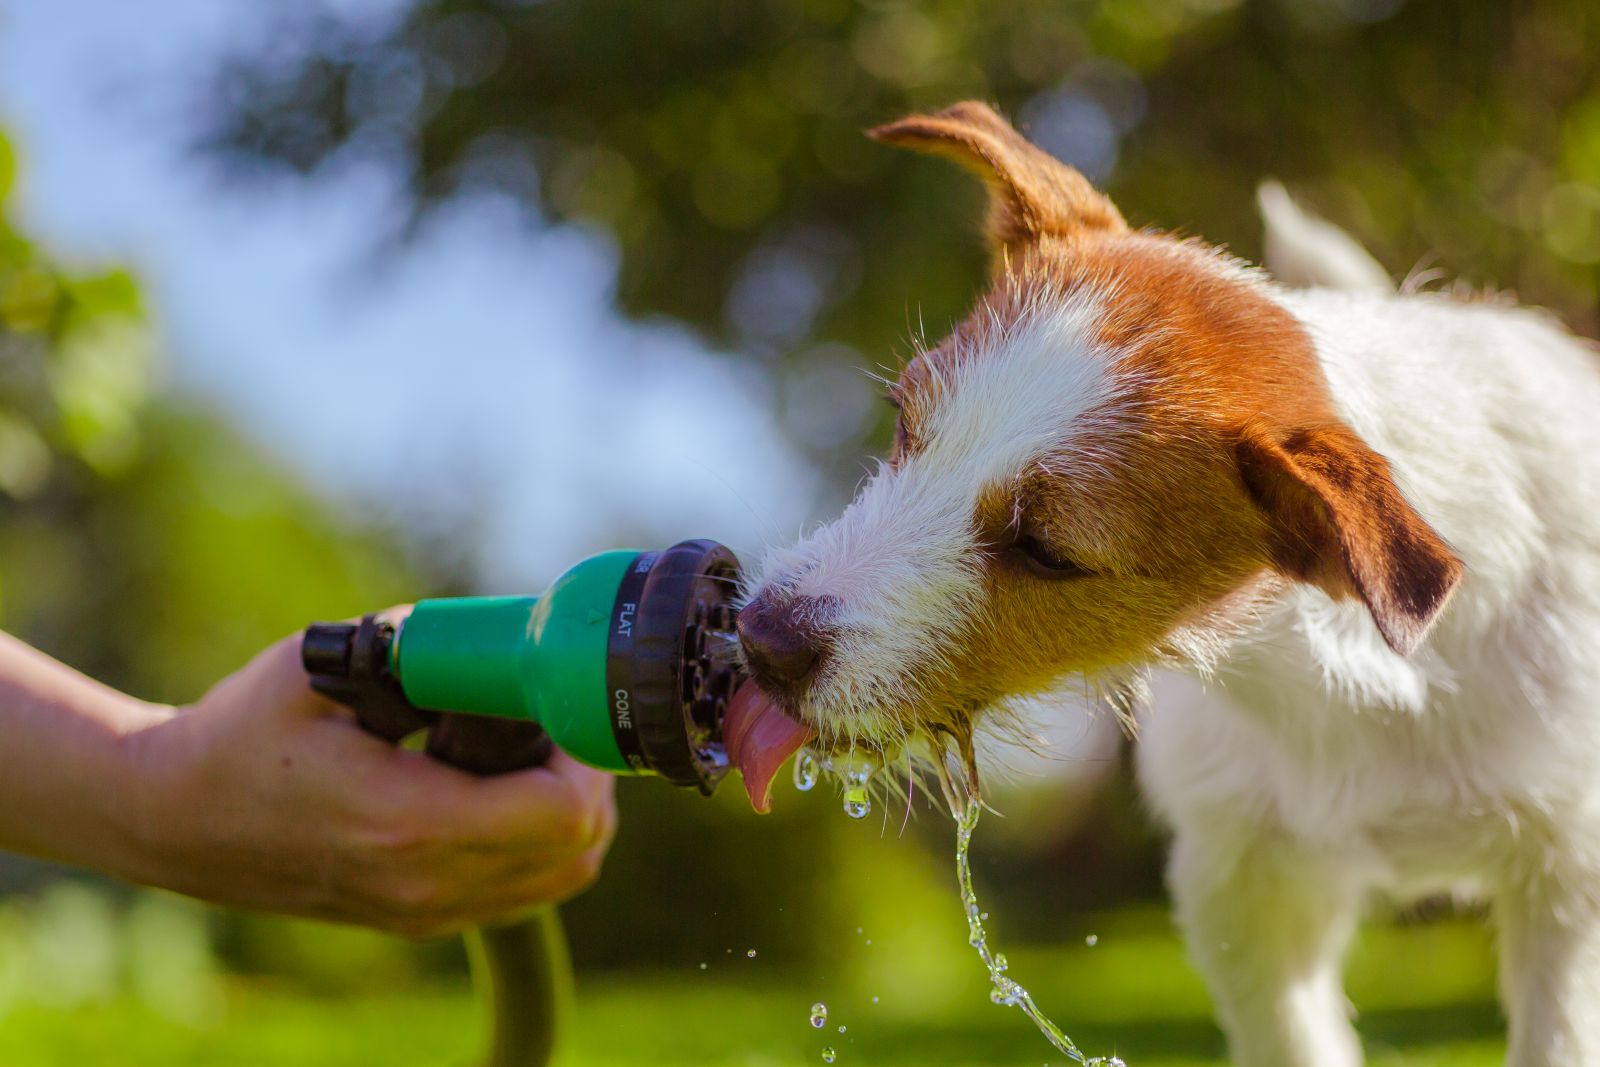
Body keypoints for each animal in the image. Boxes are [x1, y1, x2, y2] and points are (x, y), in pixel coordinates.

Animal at [729, 99, 1600, 1067]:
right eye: (905, 426)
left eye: (1045, 548)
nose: (763, 641)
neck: (1359, 684)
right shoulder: (1236, 883)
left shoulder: (1568, 886)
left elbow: (1558, 1034)